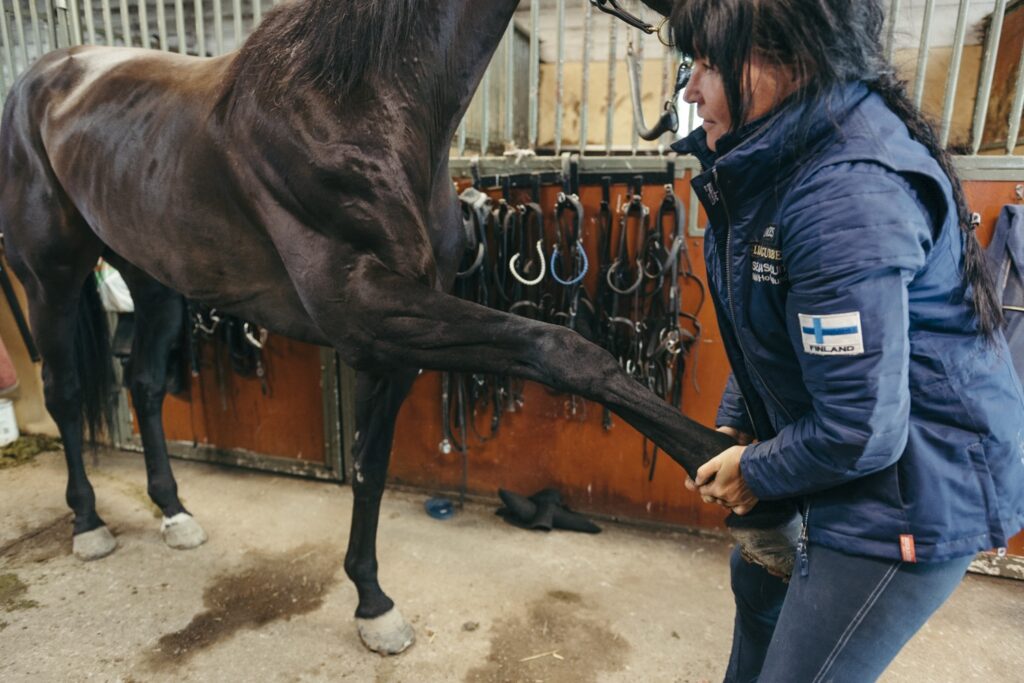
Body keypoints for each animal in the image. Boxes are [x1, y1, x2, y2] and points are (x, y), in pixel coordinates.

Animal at [0, 0, 737, 655]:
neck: (351, 106)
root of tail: (47, 75)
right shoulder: (370, 315)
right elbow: (564, 348)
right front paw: (725, 468)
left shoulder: (394, 343)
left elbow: (369, 466)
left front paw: (372, 603)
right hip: (49, 279)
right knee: (66, 394)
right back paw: (89, 523)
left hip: (154, 280)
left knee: (147, 384)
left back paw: (174, 512)